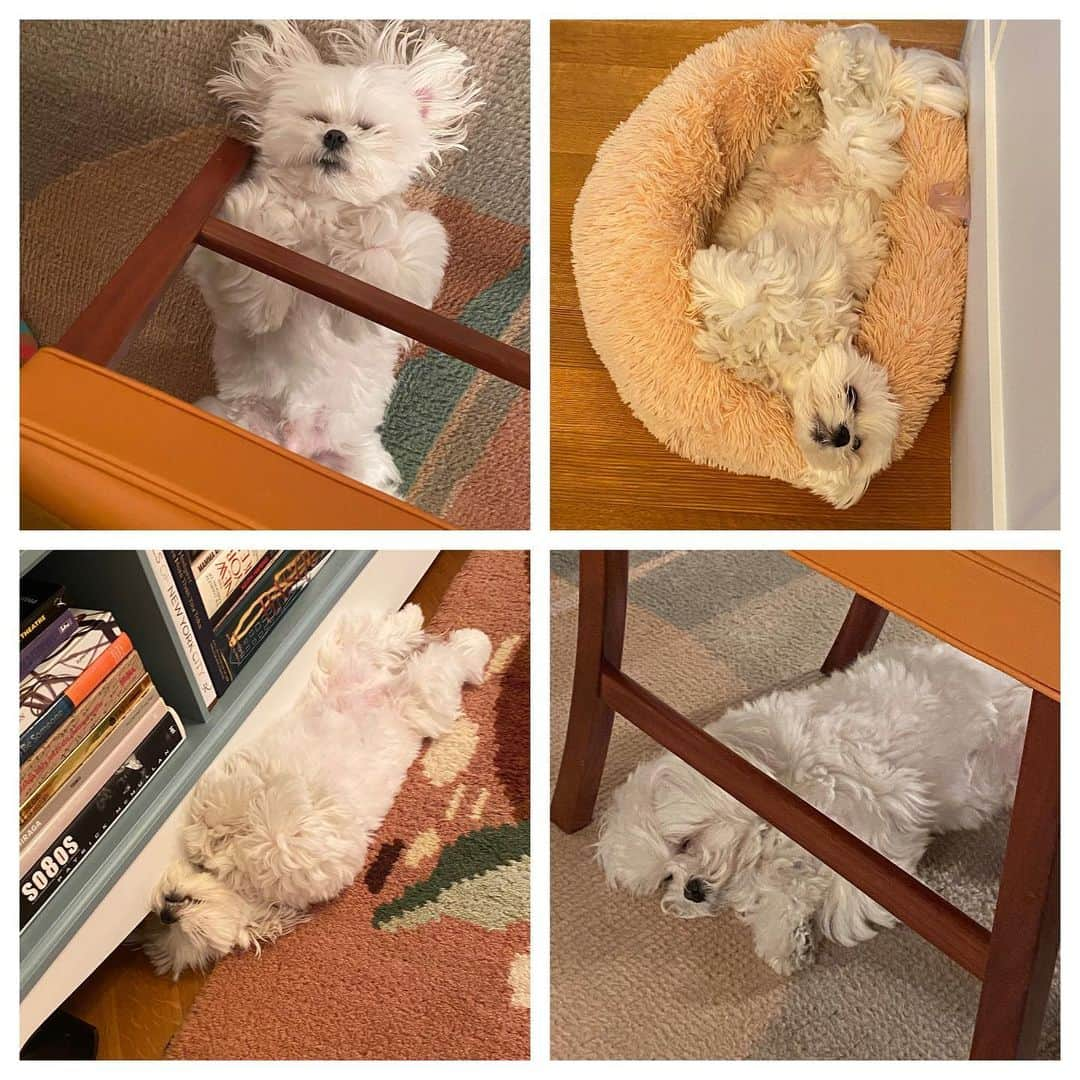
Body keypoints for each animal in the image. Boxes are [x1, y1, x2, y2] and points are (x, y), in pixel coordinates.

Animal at [139, 609, 490, 980]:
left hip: (379, 679)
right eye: (177, 931)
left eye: (189, 929)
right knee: (412, 652)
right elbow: (271, 833)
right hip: (393, 683)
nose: (166, 912)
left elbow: (246, 822)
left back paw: (454, 633)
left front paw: (258, 808)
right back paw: (435, 629)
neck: (237, 879)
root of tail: (389, 687)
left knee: (418, 648)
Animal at [600, 639, 1028, 980]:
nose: (691, 890)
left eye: (685, 843)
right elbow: (784, 886)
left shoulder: (865, 813)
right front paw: (783, 939)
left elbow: (837, 887)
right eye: (665, 878)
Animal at [691, 27, 972, 507]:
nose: (841, 434)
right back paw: (835, 55)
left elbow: (753, 316)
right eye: (852, 397)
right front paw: (710, 272)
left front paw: (718, 306)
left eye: (856, 446)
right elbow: (761, 293)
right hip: (851, 148)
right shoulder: (805, 278)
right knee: (850, 104)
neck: (797, 363)